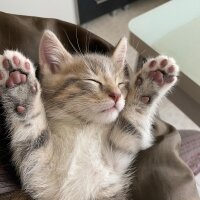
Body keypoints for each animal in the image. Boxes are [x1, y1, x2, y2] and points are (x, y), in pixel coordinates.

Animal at [0, 30, 178, 200]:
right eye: (92, 81)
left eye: (121, 84)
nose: (117, 95)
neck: (83, 125)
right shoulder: (39, 172)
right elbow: (31, 133)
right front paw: (20, 87)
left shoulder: (114, 162)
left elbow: (131, 125)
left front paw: (150, 83)